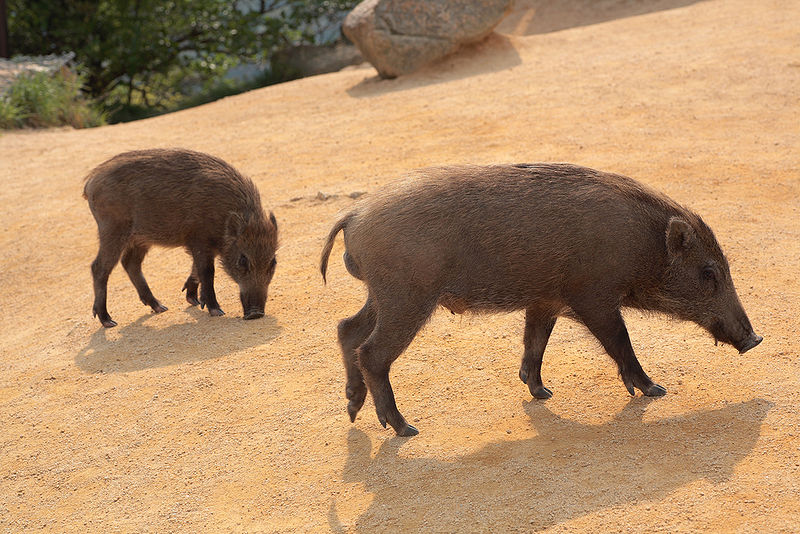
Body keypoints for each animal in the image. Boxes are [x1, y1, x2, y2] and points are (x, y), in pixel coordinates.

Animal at [84, 148, 278, 328]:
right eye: (243, 260)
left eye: (273, 262)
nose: (256, 314)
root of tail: (90, 182)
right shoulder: (200, 240)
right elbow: (207, 271)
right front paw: (215, 310)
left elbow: (197, 270)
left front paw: (194, 300)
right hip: (113, 230)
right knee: (99, 267)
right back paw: (108, 321)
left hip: (140, 238)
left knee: (130, 263)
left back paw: (160, 307)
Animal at [320, 163, 762, 436]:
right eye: (709, 273)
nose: (755, 339)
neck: (643, 245)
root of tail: (354, 215)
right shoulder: (593, 298)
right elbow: (620, 343)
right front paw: (655, 390)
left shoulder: (546, 300)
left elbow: (535, 343)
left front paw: (541, 392)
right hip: (407, 298)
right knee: (371, 352)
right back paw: (404, 429)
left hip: (382, 296)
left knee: (347, 329)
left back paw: (353, 410)